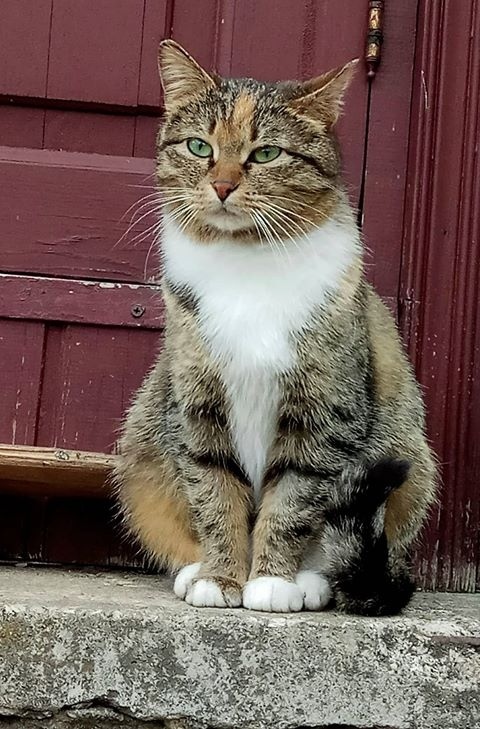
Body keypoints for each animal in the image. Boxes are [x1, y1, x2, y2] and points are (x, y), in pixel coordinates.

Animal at [114, 38, 436, 608]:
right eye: (198, 147)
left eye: (266, 153)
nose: (222, 185)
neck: (245, 262)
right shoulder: (197, 404)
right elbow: (213, 491)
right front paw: (220, 577)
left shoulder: (324, 410)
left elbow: (293, 499)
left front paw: (271, 581)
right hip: (143, 441)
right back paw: (192, 569)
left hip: (409, 456)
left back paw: (311, 581)